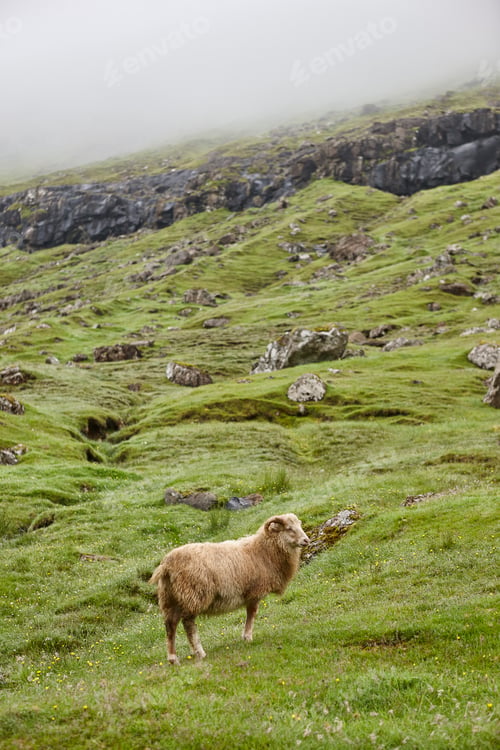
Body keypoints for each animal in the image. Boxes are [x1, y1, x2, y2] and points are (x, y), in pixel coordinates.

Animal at [149, 513, 310, 665]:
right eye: (289, 528)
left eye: (299, 524)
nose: (306, 540)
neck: (264, 550)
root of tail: (166, 565)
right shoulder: (254, 592)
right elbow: (251, 613)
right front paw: (247, 637)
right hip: (193, 594)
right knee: (188, 624)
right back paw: (200, 653)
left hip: (170, 598)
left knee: (170, 625)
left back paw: (173, 659)